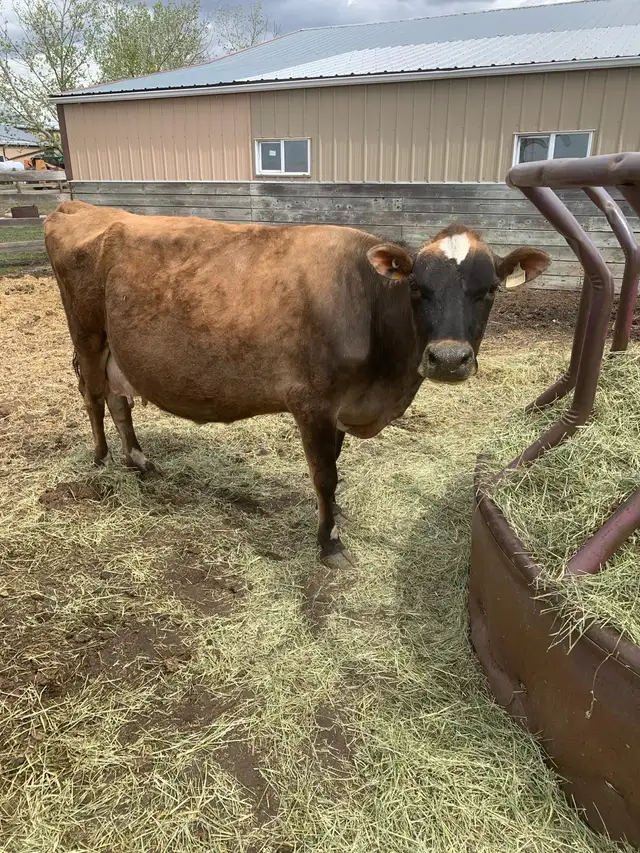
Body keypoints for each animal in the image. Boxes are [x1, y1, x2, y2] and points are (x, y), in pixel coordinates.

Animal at [45, 201, 550, 569]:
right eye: (416, 289)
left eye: (489, 290)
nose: (448, 359)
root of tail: (81, 206)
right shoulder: (312, 403)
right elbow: (325, 475)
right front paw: (329, 544)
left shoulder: (342, 408)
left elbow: (337, 468)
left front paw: (338, 515)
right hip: (86, 334)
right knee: (92, 395)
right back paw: (102, 459)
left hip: (114, 349)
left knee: (118, 399)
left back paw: (137, 458)